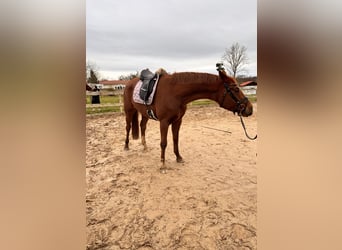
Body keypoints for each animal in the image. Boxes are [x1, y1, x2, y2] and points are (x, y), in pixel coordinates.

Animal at [124, 67, 252, 167]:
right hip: (129, 111)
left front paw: (178, 157)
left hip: (145, 113)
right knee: (128, 128)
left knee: (142, 126)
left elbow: (175, 139)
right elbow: (163, 143)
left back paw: (145, 146)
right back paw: (126, 146)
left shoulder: (177, 121)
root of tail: (129, 83)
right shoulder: (164, 122)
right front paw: (163, 164)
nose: (250, 109)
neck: (175, 93)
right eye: (236, 89)